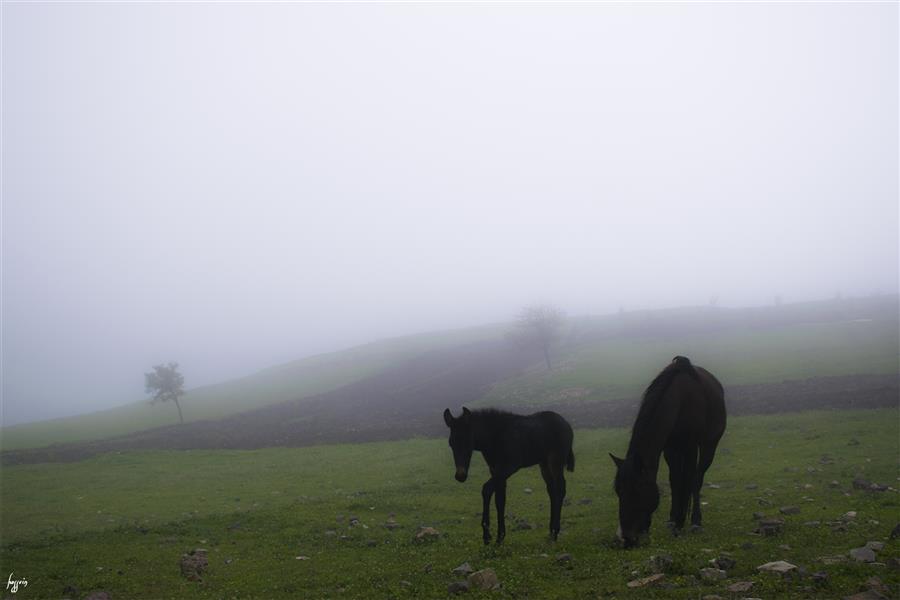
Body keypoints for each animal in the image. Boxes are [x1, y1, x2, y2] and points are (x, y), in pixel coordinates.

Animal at [442, 408, 576, 544]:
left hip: (556, 461)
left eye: (468, 442)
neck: (494, 436)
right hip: (543, 464)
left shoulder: (509, 466)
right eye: (451, 443)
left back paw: (555, 531)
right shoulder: (495, 469)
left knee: (560, 489)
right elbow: (500, 499)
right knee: (552, 491)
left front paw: (487, 535)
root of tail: (566, 424)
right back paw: (551, 532)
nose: (460, 475)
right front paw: (500, 536)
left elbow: (487, 489)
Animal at [608, 356, 728, 548]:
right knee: (678, 479)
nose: (627, 538)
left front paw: (691, 522)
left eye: (637, 490)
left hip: (709, 444)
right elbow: (674, 481)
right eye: (618, 491)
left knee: (698, 476)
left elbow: (692, 480)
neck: (680, 401)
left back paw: (693, 520)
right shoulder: (669, 448)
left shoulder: (691, 446)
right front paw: (675, 521)